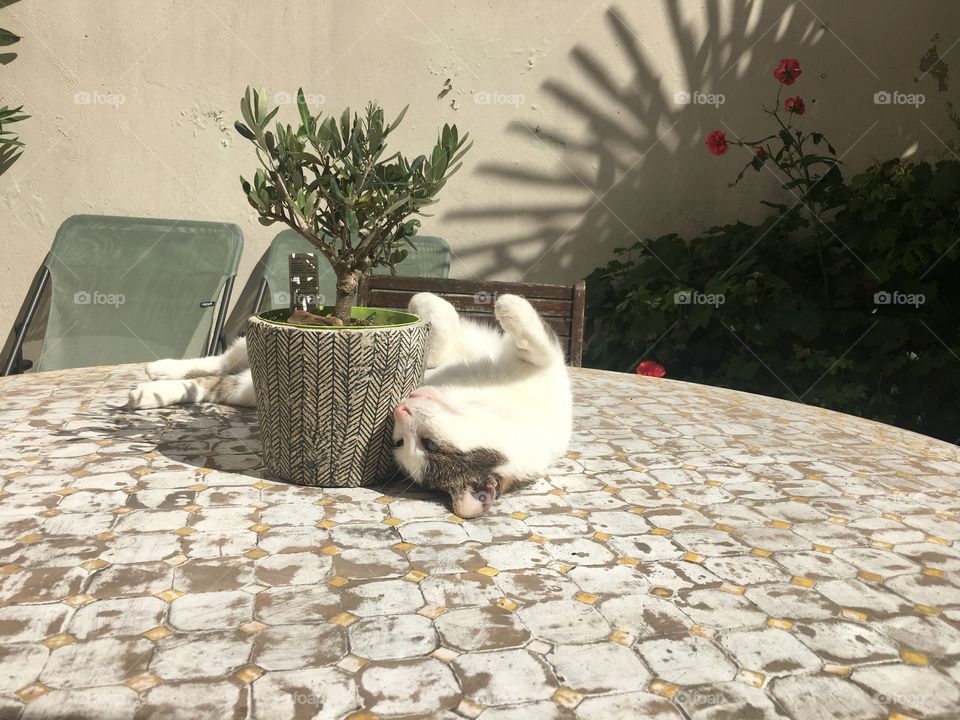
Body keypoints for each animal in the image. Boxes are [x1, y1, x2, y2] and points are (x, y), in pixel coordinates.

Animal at [130, 292, 572, 516]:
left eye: (417, 446)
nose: (400, 411)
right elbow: (444, 317)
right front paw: (425, 300)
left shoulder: (543, 365)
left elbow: (530, 342)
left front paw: (502, 303)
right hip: (247, 352)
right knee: (219, 360)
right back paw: (157, 372)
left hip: (247, 388)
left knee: (216, 382)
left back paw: (152, 390)